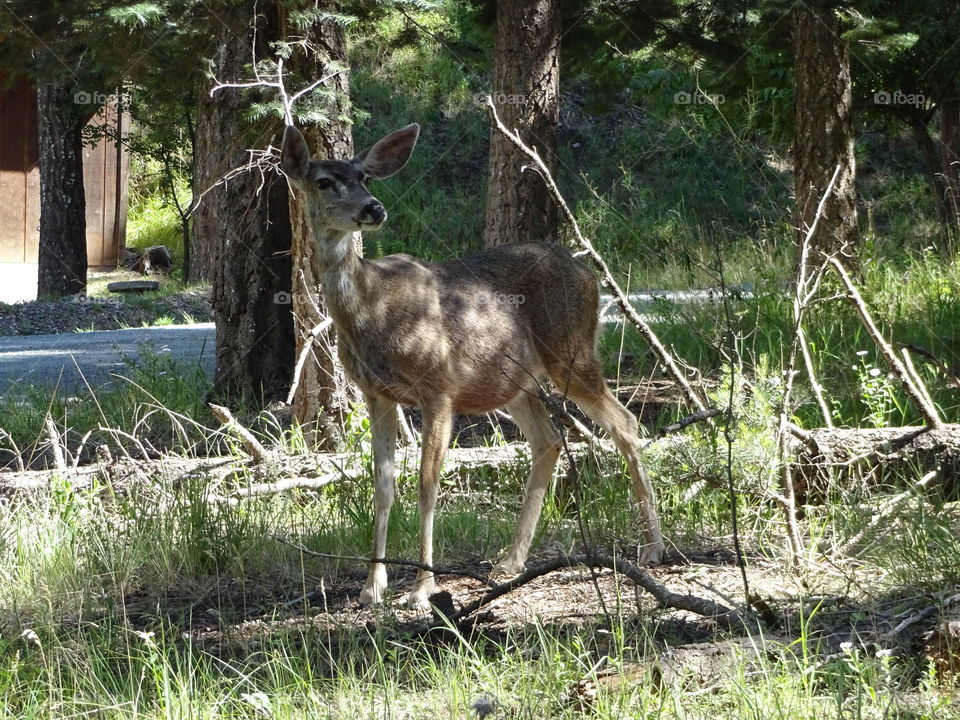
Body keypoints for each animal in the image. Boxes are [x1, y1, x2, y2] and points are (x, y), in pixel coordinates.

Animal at [282, 121, 664, 612]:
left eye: (365, 177)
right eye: (324, 181)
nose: (374, 208)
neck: (373, 307)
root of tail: (589, 274)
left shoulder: (439, 386)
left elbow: (427, 482)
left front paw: (421, 588)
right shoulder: (377, 394)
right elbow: (383, 485)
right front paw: (373, 586)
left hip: (571, 352)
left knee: (625, 422)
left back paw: (652, 547)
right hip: (515, 382)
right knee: (549, 441)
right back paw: (511, 560)